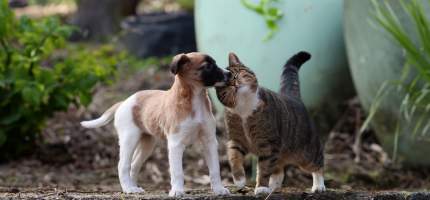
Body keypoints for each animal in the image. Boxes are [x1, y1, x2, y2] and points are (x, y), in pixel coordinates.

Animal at [79, 52, 230, 197]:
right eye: (208, 66)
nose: (229, 74)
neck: (194, 100)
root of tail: (123, 102)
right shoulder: (176, 144)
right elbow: (177, 172)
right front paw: (177, 190)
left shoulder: (209, 141)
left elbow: (215, 169)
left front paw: (219, 189)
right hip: (129, 139)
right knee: (123, 165)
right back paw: (128, 189)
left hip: (147, 144)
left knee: (134, 165)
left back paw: (134, 187)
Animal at [215, 51, 326, 194]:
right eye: (225, 85)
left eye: (237, 74)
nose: (234, 84)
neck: (244, 107)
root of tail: (292, 96)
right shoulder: (236, 140)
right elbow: (234, 158)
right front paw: (239, 180)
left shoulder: (268, 143)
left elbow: (264, 168)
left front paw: (261, 187)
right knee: (279, 170)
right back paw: (273, 187)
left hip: (306, 153)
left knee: (318, 164)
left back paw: (318, 186)